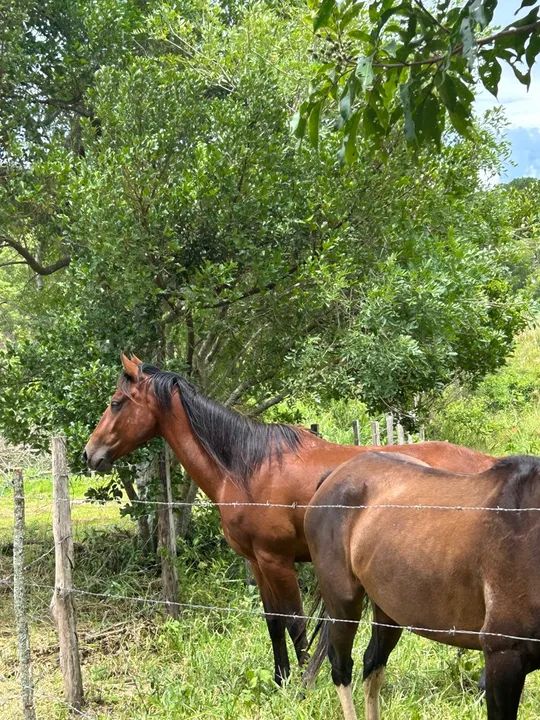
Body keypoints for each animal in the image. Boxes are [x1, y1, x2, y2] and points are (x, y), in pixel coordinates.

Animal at [84, 353, 495, 686]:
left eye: (116, 403)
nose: (90, 454)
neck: (247, 467)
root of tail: (488, 464)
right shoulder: (257, 562)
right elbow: (274, 623)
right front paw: (281, 680)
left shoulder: (277, 561)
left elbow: (296, 623)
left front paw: (303, 683)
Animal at [305, 452, 540, 720]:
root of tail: (333, 476)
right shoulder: (504, 656)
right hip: (343, 607)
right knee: (341, 668)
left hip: (388, 612)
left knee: (372, 664)